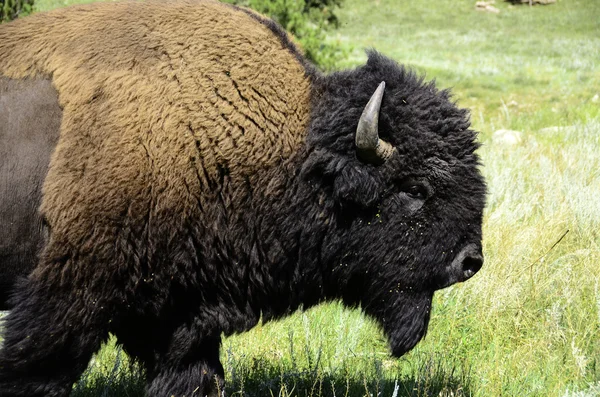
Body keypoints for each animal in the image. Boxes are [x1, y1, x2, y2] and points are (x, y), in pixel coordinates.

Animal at [0, 1, 488, 394]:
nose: (469, 261)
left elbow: (195, 375)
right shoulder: (64, 301)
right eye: (414, 189)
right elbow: (37, 372)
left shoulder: (178, 313)